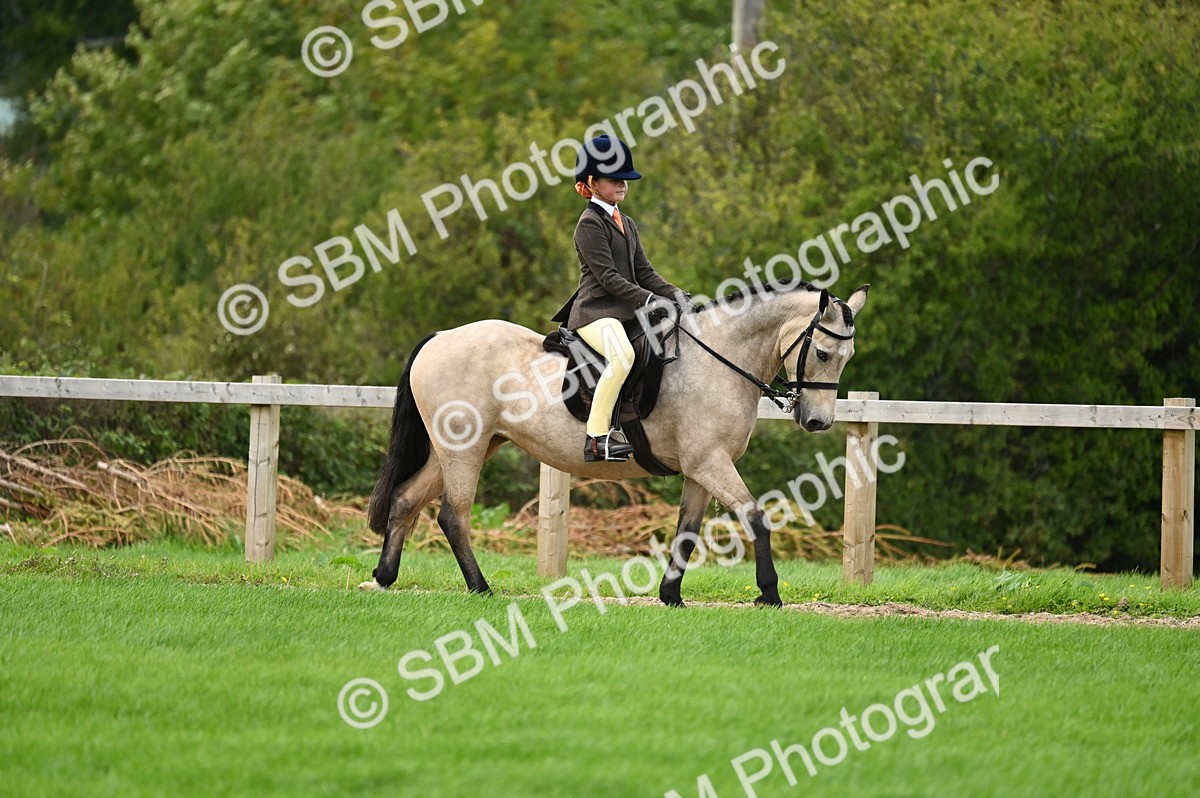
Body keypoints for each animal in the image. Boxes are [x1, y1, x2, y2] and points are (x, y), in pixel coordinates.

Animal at [361, 280, 869, 606]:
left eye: (848, 357)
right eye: (823, 352)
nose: (818, 421)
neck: (720, 359)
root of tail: (440, 338)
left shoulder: (701, 469)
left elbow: (687, 531)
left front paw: (670, 596)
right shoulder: (711, 463)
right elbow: (756, 517)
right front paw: (769, 593)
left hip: (473, 446)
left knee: (406, 499)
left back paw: (384, 577)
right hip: (463, 449)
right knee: (453, 515)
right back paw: (480, 587)